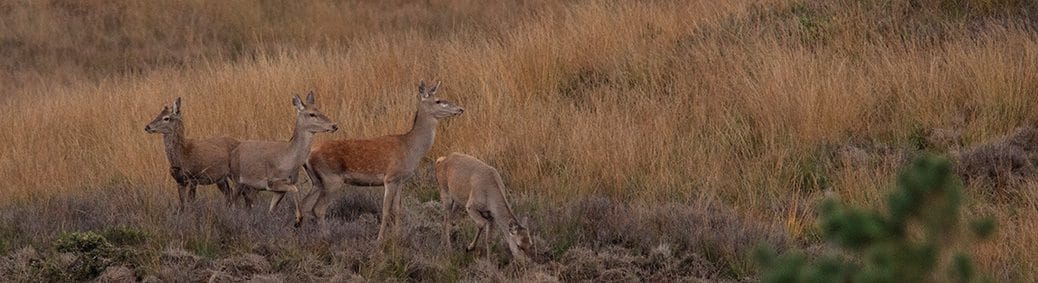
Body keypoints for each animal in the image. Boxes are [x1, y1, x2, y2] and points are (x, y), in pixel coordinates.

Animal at [229, 90, 338, 224]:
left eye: (319, 110)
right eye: (312, 114)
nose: (334, 125)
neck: (289, 159)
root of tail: (234, 151)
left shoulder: (280, 189)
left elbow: (271, 210)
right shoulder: (271, 182)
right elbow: (295, 189)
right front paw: (298, 218)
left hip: (252, 187)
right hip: (236, 179)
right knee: (232, 202)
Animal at [301, 80, 462, 241]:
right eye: (438, 101)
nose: (460, 109)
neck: (411, 148)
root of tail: (309, 154)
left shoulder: (400, 180)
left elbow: (397, 209)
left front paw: (397, 236)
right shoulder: (390, 178)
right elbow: (385, 210)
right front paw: (379, 239)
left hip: (317, 181)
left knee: (306, 205)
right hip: (331, 178)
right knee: (318, 208)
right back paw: (326, 237)